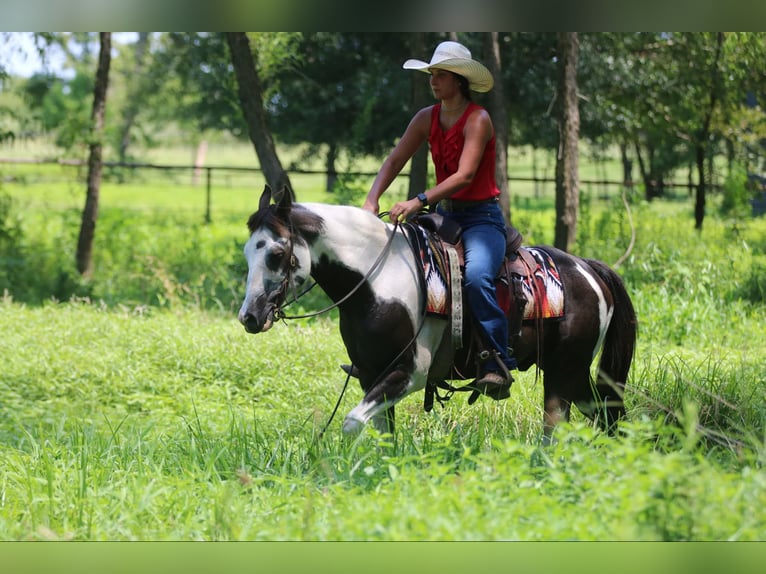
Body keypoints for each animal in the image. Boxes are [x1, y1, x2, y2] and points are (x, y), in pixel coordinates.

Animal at [238, 185, 637, 442]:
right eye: (247, 252)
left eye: (276, 253)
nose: (250, 317)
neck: (376, 279)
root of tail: (587, 268)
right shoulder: (371, 374)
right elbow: (383, 432)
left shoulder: (409, 373)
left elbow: (351, 423)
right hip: (573, 373)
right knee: (607, 413)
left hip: (564, 371)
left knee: (561, 428)